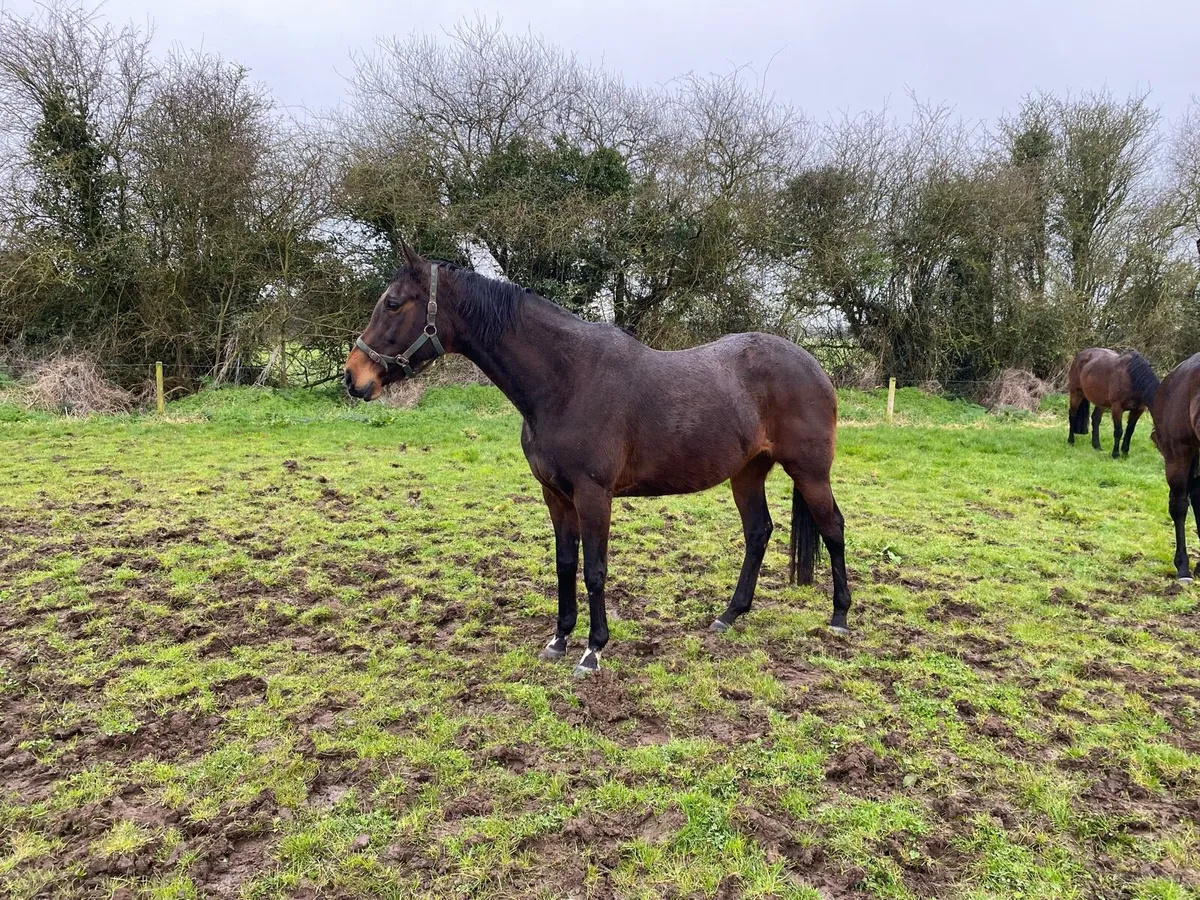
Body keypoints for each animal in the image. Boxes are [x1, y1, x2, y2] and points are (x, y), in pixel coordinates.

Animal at [344, 243, 853, 676]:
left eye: (393, 304)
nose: (353, 377)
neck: (566, 381)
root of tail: (814, 366)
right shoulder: (556, 495)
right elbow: (565, 563)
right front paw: (559, 640)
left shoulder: (593, 495)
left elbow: (594, 569)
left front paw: (592, 650)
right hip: (747, 472)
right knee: (758, 532)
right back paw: (729, 615)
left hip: (810, 472)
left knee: (832, 528)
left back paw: (839, 617)